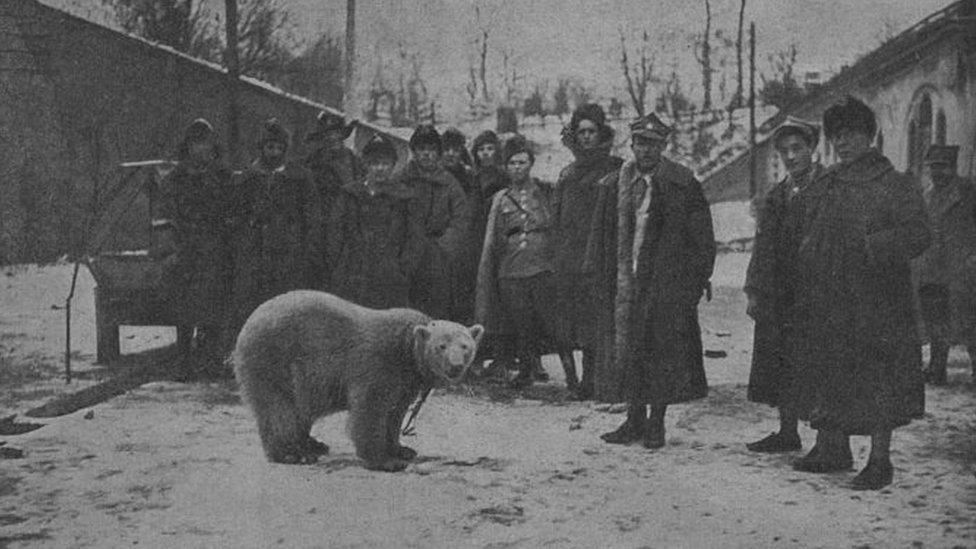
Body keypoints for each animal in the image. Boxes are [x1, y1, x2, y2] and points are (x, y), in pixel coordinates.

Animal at [234, 292, 484, 470]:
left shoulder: (406, 381)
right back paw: (293, 454)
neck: (407, 349)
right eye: (441, 346)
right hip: (274, 360)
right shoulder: (379, 362)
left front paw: (402, 449)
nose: (455, 366)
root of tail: (247, 324)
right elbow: (370, 409)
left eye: (465, 346)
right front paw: (386, 461)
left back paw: (314, 443)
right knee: (279, 409)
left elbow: (395, 413)